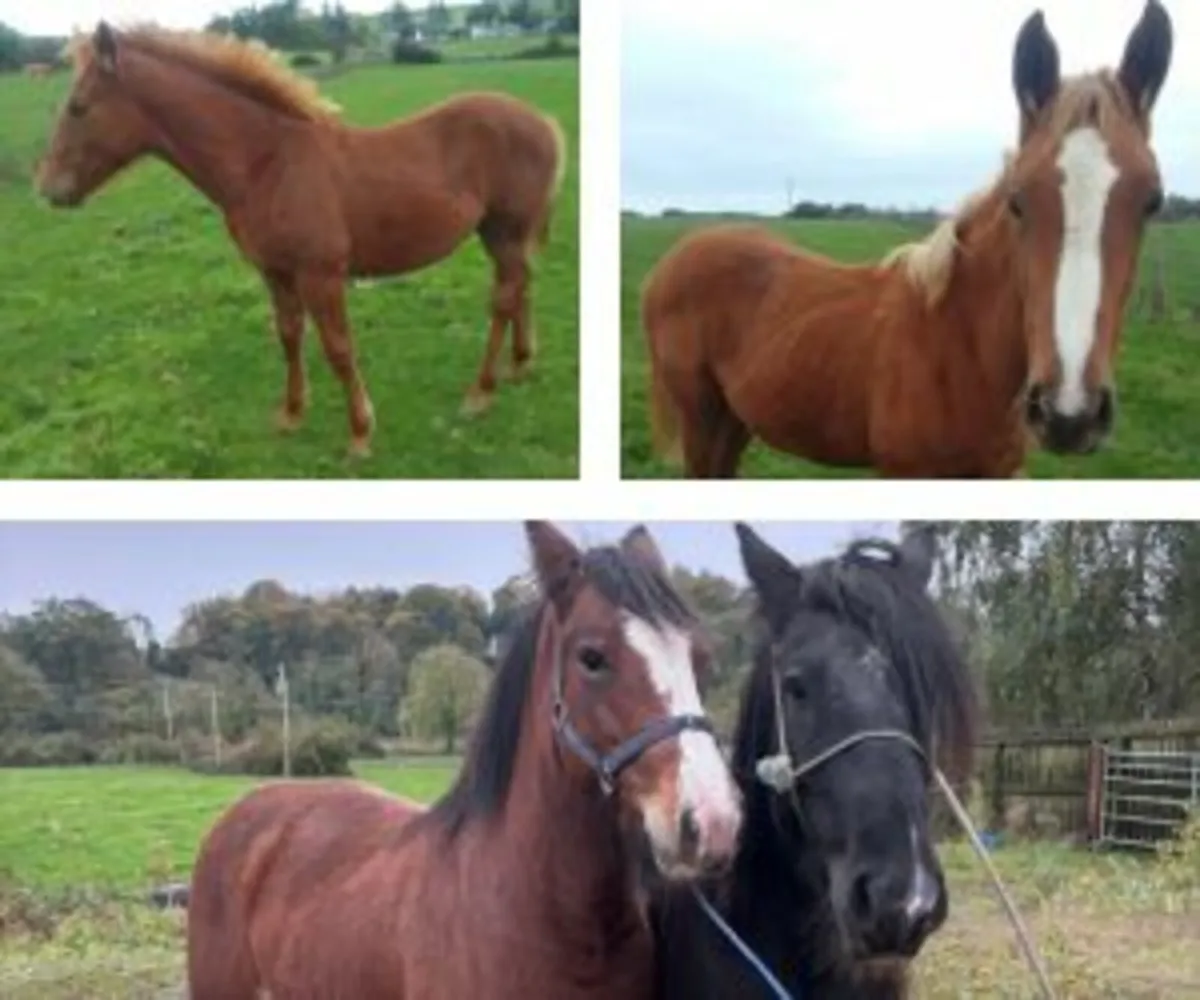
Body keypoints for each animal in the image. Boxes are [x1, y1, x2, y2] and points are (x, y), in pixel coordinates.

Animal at [36, 23, 567, 457]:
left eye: (78, 107)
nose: (49, 187)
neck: (267, 163)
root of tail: (543, 122)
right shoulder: (276, 272)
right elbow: (289, 335)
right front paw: (291, 413)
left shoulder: (321, 274)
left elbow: (337, 347)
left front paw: (360, 432)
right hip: (498, 234)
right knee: (522, 284)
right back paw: (520, 364)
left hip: (506, 229)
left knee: (504, 297)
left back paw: (481, 392)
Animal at [641, 1, 1173, 478]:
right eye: (1017, 201)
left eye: (1152, 201)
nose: (1070, 413)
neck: (959, 346)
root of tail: (679, 256)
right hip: (702, 418)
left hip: (735, 419)